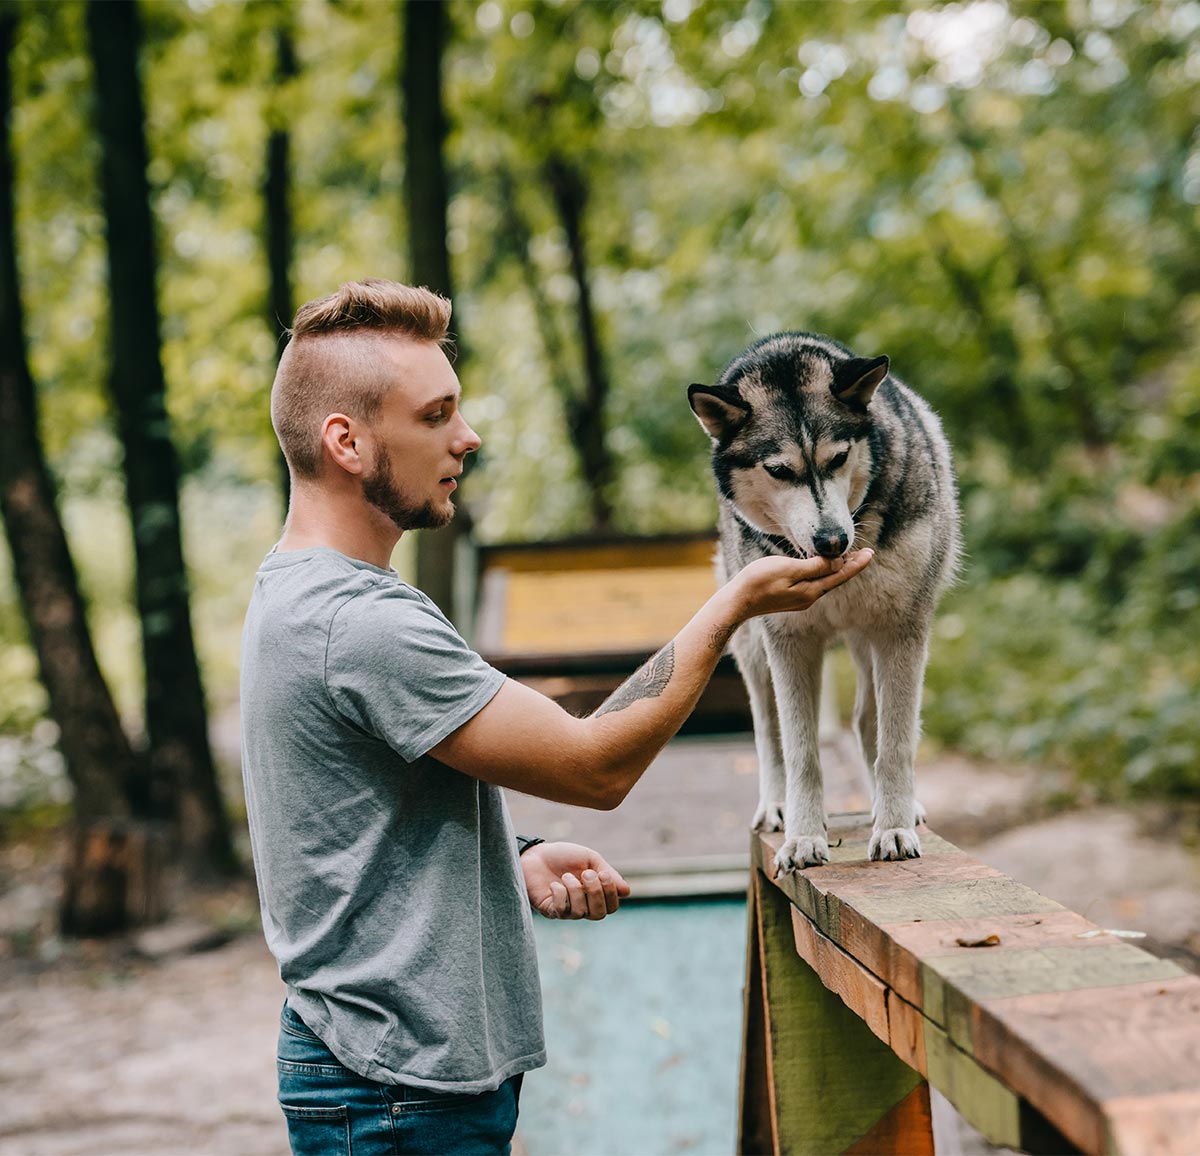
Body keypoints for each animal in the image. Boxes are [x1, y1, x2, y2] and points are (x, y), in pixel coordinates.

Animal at [691, 331, 960, 869]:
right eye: (778, 470)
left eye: (837, 459)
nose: (833, 541)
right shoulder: (790, 641)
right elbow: (800, 750)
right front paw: (803, 837)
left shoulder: (903, 629)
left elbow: (896, 741)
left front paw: (893, 827)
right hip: (753, 649)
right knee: (769, 731)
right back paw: (775, 807)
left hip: (870, 640)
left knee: (868, 721)